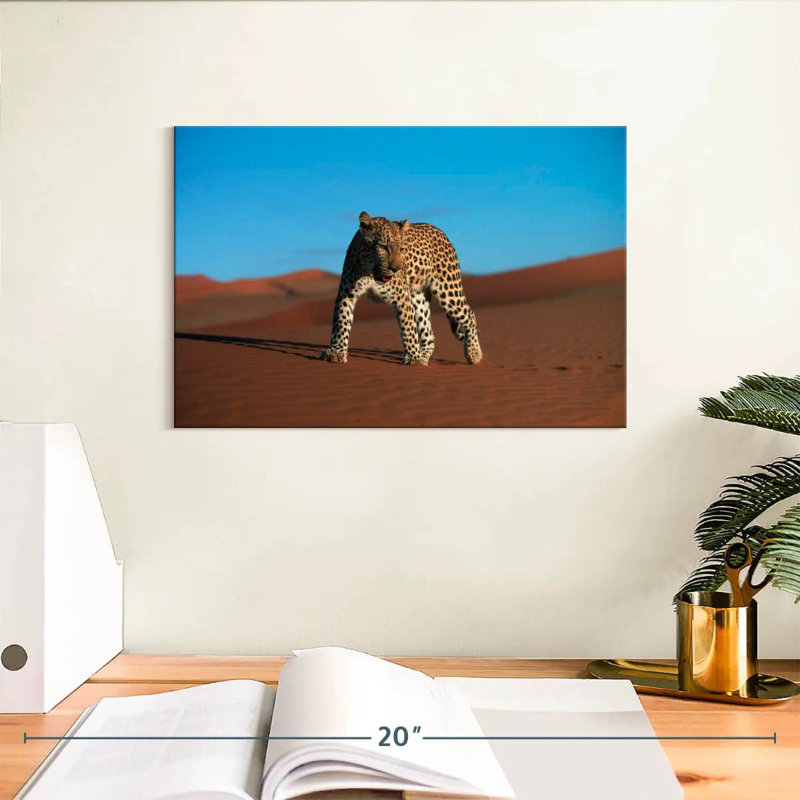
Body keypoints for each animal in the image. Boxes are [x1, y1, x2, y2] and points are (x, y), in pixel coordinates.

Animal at [321, 212, 482, 366]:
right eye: (383, 247)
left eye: (402, 249)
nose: (396, 269)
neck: (371, 273)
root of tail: (441, 231)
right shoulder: (346, 295)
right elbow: (341, 322)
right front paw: (336, 351)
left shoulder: (402, 299)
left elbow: (408, 328)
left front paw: (413, 358)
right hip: (419, 298)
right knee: (429, 334)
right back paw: (423, 358)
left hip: (448, 290)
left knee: (470, 315)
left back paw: (473, 353)